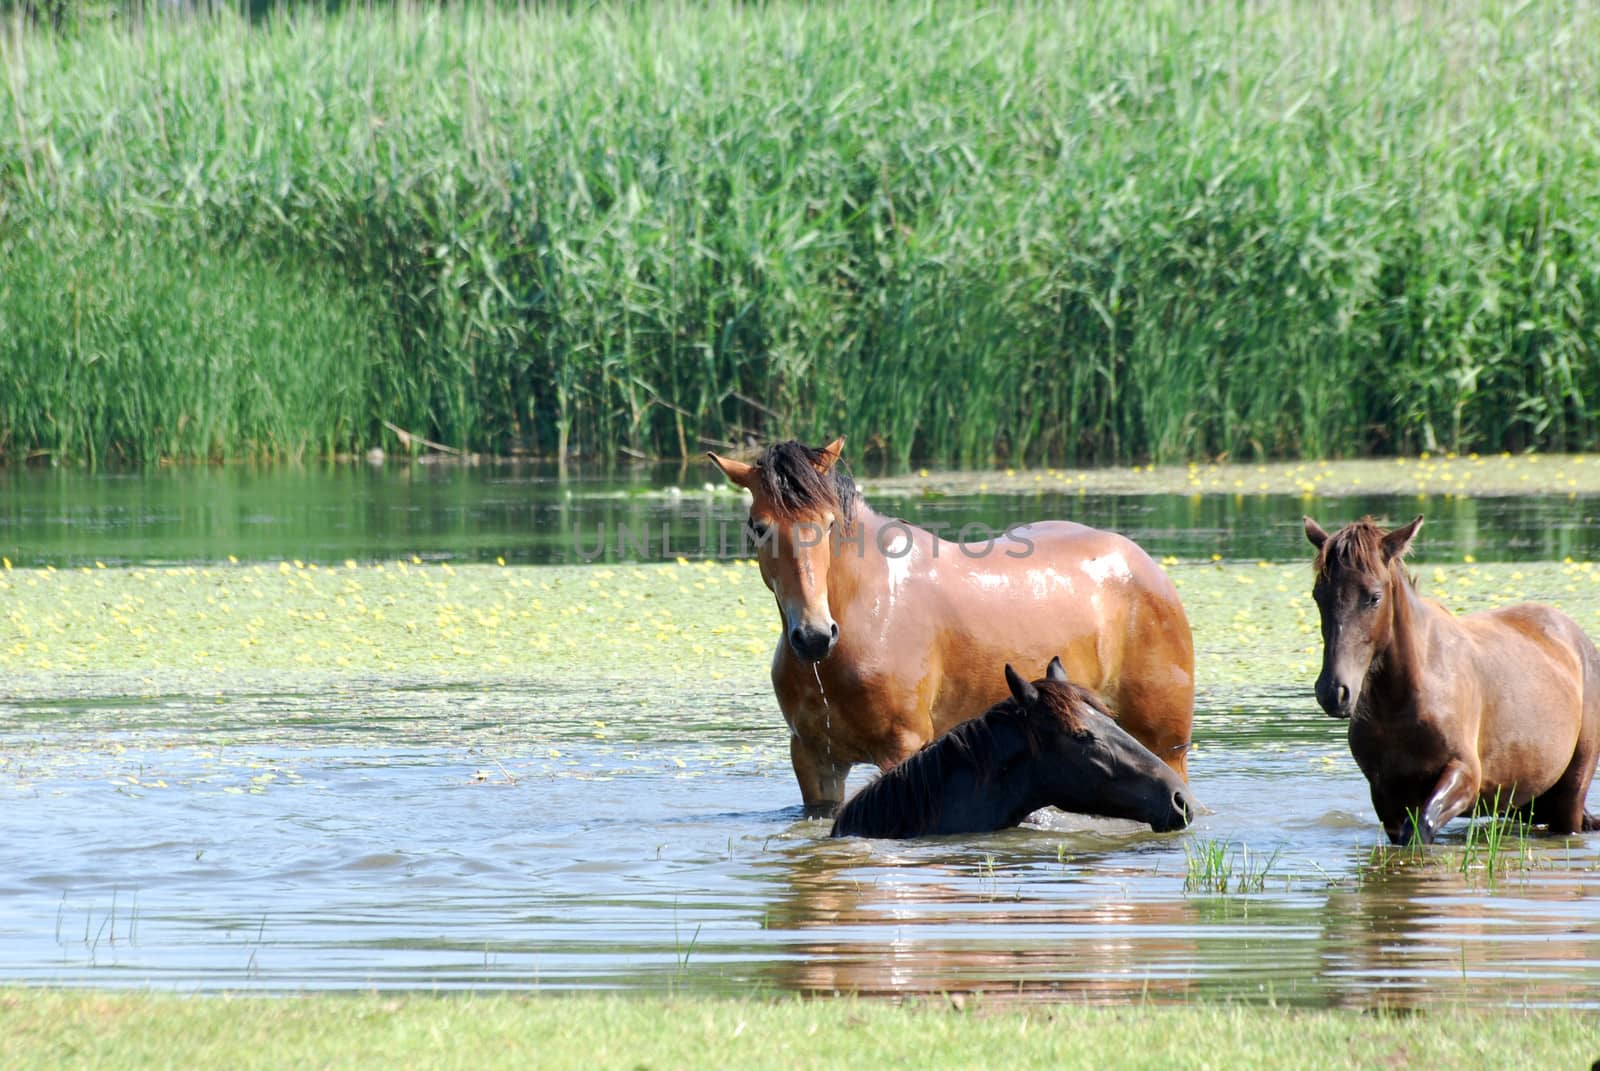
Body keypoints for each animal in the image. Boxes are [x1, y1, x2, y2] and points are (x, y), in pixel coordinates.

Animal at [707, 435, 1196, 810]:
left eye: (828, 525)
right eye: (758, 526)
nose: (812, 636)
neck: (869, 616)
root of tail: (1143, 565)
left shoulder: (901, 749)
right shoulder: (814, 761)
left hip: (1165, 745)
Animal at [1299, 515, 1600, 845]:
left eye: (1374, 597)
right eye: (1318, 595)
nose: (1333, 692)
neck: (1403, 699)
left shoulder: (1464, 775)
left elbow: (1422, 828)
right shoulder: (1385, 795)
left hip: (1571, 791)